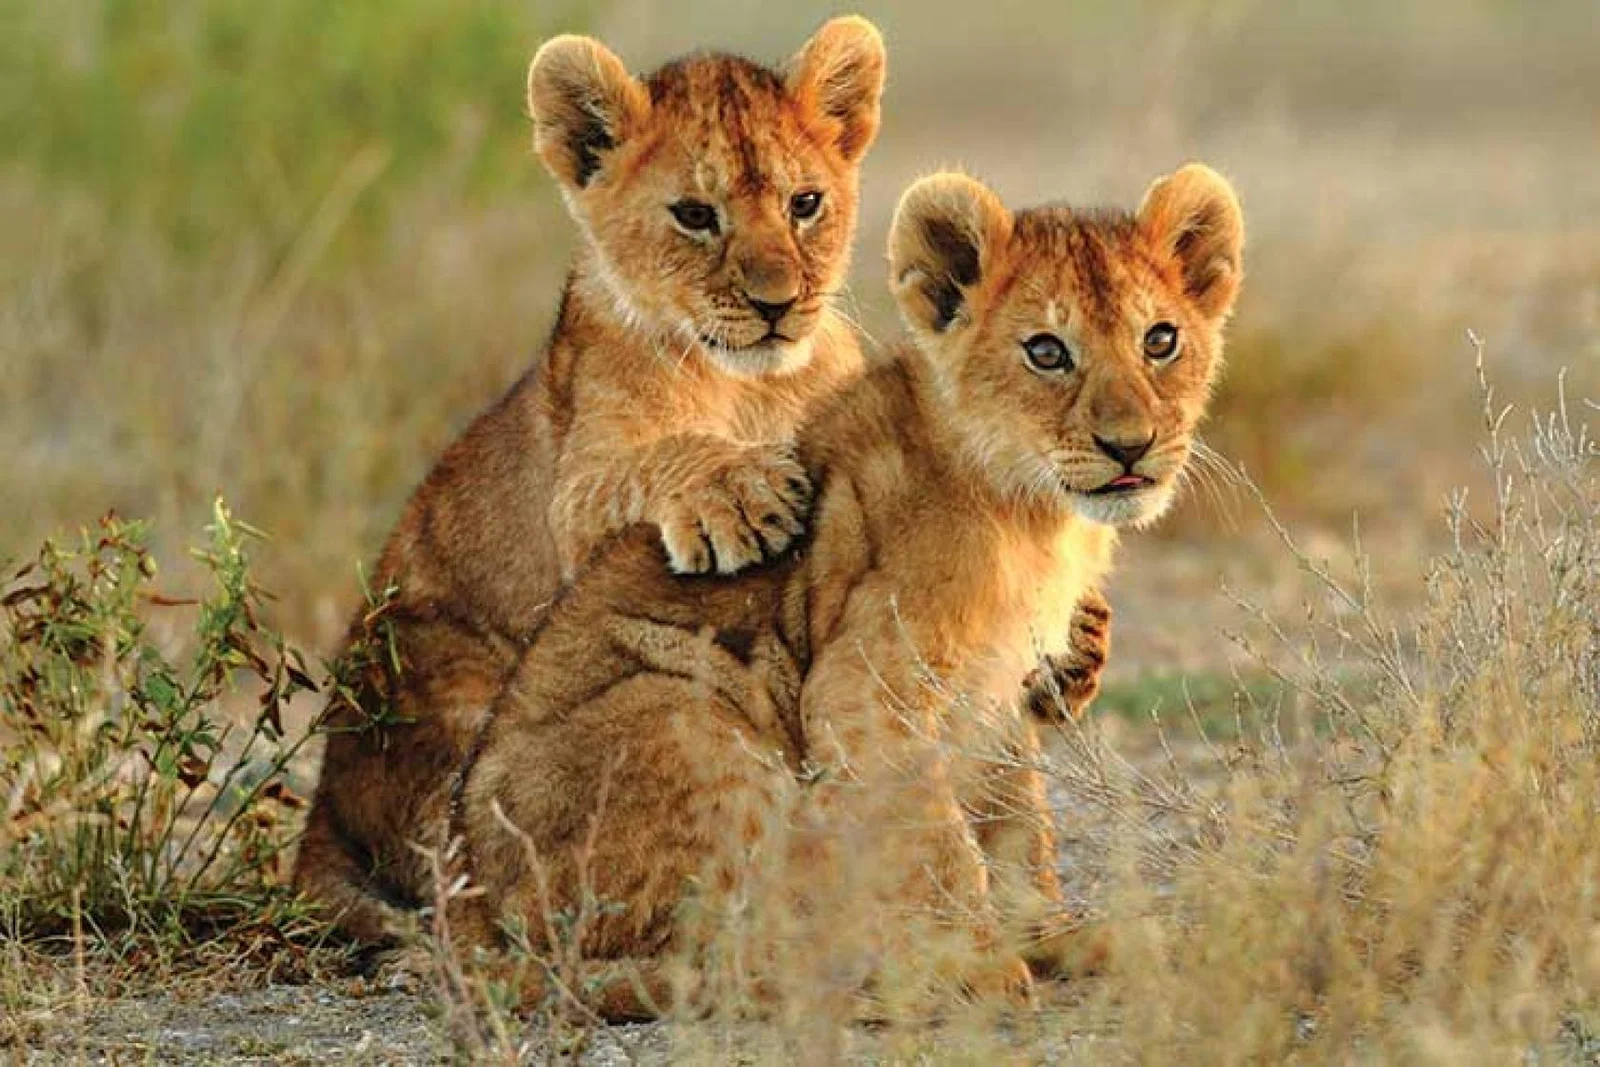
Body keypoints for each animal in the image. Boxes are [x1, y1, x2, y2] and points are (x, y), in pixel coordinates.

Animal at [294, 18, 890, 944]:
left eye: (805, 203)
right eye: (695, 215)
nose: (778, 303)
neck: (753, 385)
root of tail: (321, 808)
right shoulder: (578, 487)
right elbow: (651, 464)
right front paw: (738, 491)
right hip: (448, 687)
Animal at [452, 164, 1246, 1019]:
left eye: (1160, 340)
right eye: (1046, 351)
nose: (1131, 446)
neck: (1036, 517)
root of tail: (468, 910)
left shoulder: (997, 691)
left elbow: (1016, 822)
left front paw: (1051, 933)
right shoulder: (864, 687)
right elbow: (937, 839)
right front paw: (977, 961)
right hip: (685, 710)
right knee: (682, 953)